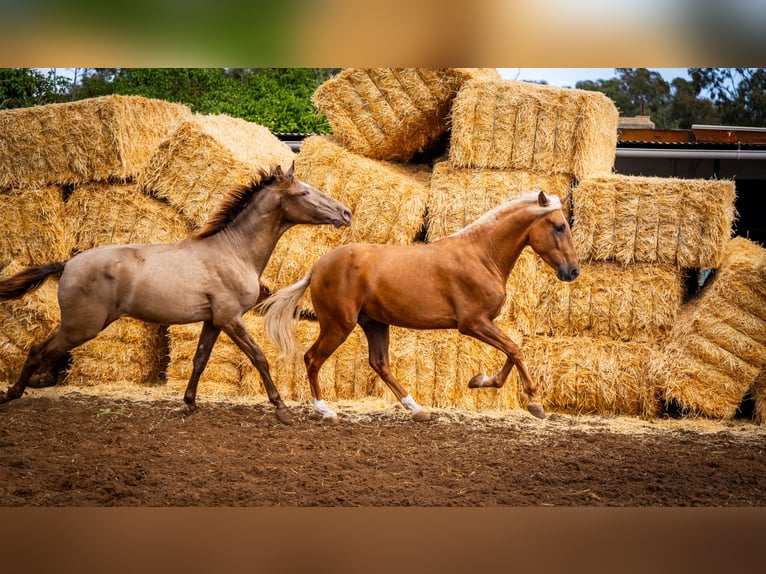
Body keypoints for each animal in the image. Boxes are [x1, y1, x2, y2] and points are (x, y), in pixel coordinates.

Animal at [0, 164, 352, 426]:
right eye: (304, 192)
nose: (346, 213)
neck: (233, 251)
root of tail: (67, 264)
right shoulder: (231, 318)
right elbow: (259, 357)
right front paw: (281, 410)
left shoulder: (214, 321)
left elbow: (199, 360)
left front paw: (190, 403)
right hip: (81, 327)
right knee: (37, 350)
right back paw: (12, 393)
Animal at [260, 191, 580, 426]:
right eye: (559, 226)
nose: (573, 271)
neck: (480, 254)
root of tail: (316, 268)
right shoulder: (473, 323)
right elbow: (515, 349)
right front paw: (535, 404)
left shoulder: (483, 323)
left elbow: (512, 352)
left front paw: (478, 381)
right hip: (339, 325)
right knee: (312, 358)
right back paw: (326, 411)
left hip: (374, 323)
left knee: (379, 364)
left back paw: (417, 409)